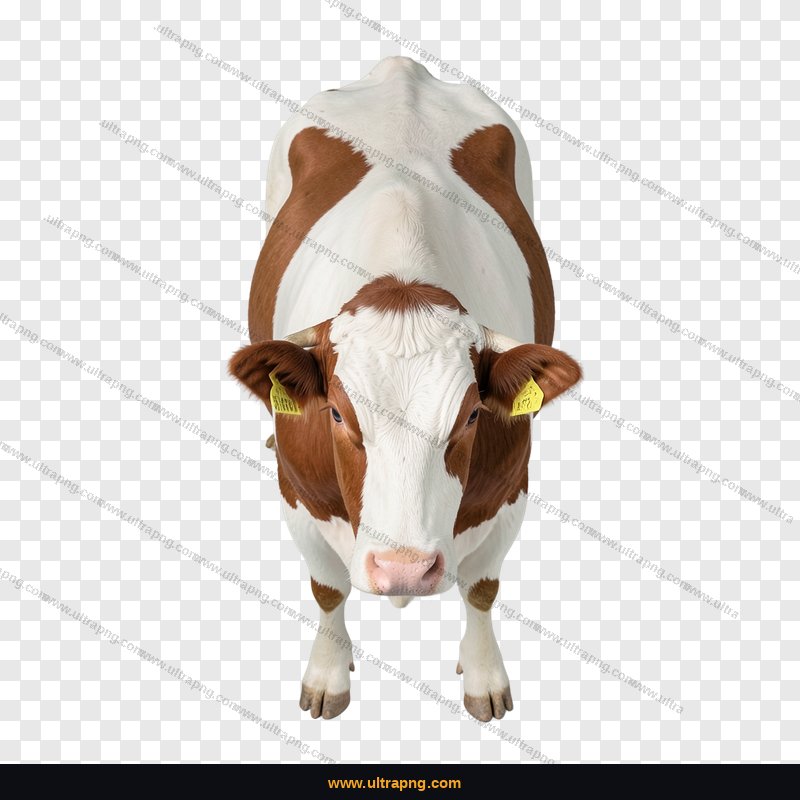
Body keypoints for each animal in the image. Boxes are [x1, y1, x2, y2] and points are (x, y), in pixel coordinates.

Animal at [230, 56, 581, 722]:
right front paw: (327, 677)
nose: (404, 570)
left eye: (471, 416)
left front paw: (484, 679)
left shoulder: (510, 488)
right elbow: (327, 588)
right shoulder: (298, 494)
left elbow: (482, 588)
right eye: (337, 416)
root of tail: (401, 69)